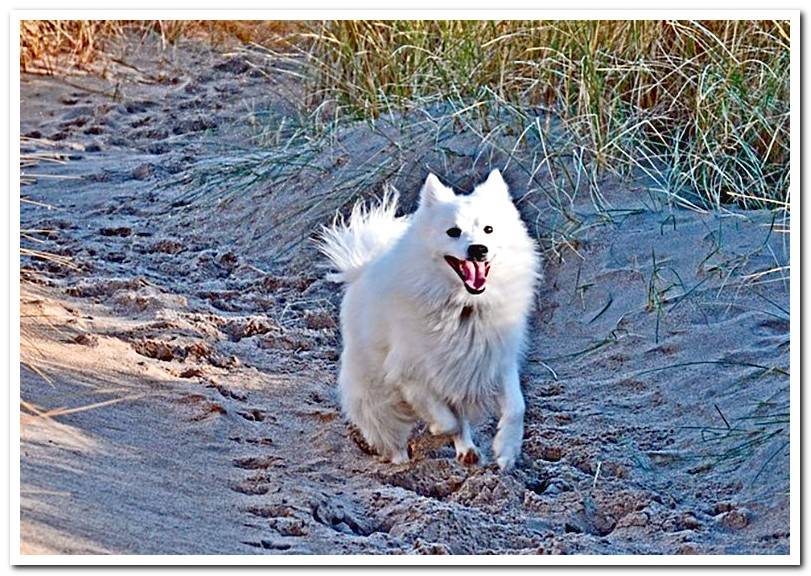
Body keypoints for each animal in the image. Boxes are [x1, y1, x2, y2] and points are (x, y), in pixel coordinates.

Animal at [320, 170, 544, 468]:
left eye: (489, 229)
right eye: (453, 232)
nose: (478, 249)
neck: (465, 306)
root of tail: (361, 268)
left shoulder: (495, 361)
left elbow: (516, 407)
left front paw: (506, 450)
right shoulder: (411, 373)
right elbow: (447, 420)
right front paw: (438, 433)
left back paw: (467, 451)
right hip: (373, 388)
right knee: (388, 429)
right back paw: (400, 460)